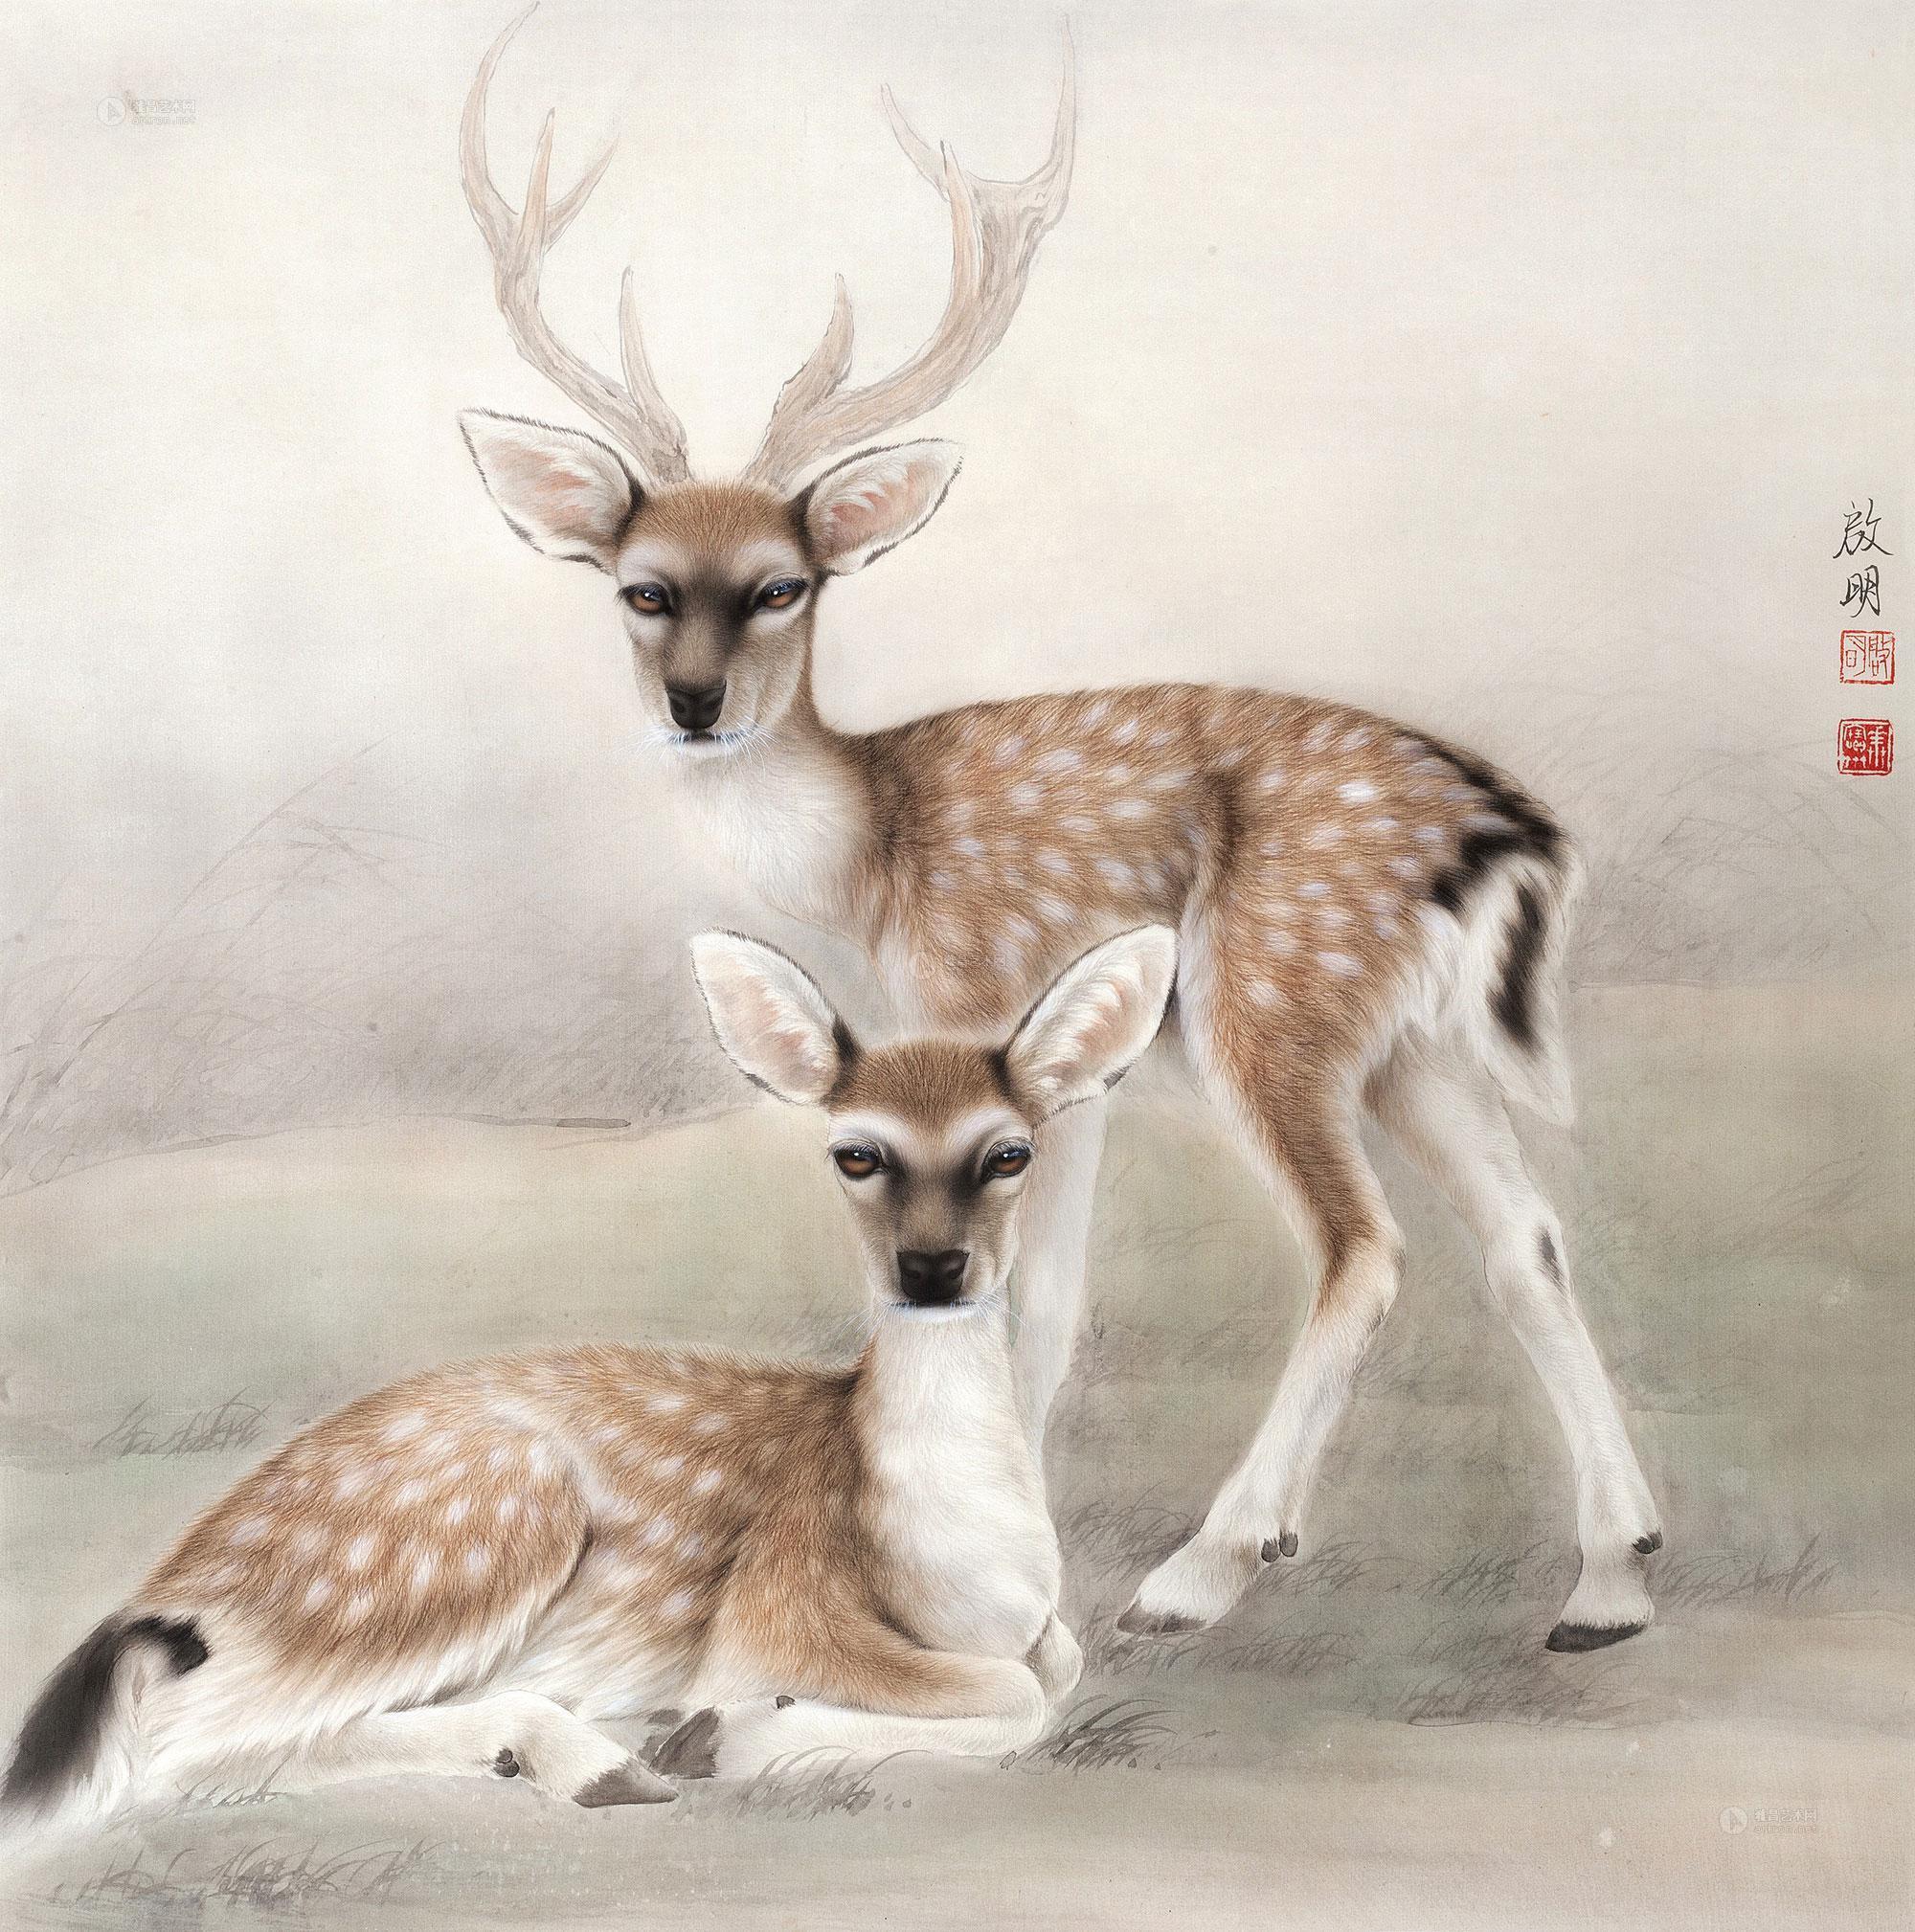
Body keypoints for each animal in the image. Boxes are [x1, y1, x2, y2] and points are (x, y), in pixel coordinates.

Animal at [2, 925, 1181, 1831]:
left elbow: (1055, 1667)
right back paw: (600, 1758)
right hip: (465, 1532)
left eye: (1011, 1151)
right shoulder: (778, 1611)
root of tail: (172, 1593)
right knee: (177, 1750)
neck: (960, 1560)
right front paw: (719, 1732)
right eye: (855, 1151)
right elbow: (1012, 1692)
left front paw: (710, 1734)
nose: (932, 1267)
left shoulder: (1036, 1623)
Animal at [454, 9, 1663, 1654]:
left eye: (783, 583)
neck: (868, 855)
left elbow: (1021, 1297)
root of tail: (1506, 824)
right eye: (640, 585)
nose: (697, 705)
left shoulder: (986, 1002)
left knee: (1366, 1246)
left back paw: (1210, 1562)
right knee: (1528, 1239)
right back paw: (1612, 1571)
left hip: (1275, 1000)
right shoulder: (1077, 1077)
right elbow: (1058, 1297)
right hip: (1407, 1039)